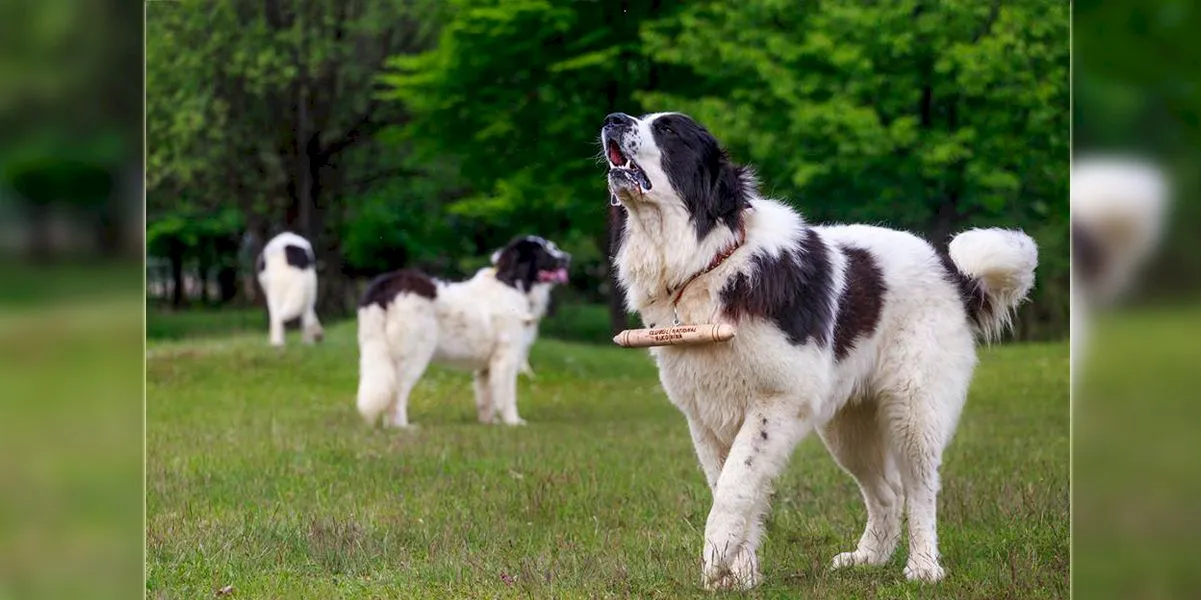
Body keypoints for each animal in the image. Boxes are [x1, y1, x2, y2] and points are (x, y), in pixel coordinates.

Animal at [353, 234, 569, 427]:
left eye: (552, 246)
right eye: (542, 251)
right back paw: (402, 427)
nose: (567, 258)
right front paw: (513, 422)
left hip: (376, 347)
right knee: (397, 393)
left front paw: (489, 423)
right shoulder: (506, 357)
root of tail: (387, 284)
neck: (514, 283)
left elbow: (487, 396)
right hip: (415, 354)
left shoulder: (486, 366)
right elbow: (506, 395)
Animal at [605, 110, 1037, 588]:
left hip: (913, 407)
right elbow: (735, 486)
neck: (710, 261)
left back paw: (923, 566)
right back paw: (867, 558)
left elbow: (736, 483)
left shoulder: (777, 399)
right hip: (847, 427)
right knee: (888, 493)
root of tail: (949, 270)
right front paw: (740, 575)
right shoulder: (706, 417)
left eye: (667, 130)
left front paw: (716, 554)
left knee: (921, 488)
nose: (612, 119)